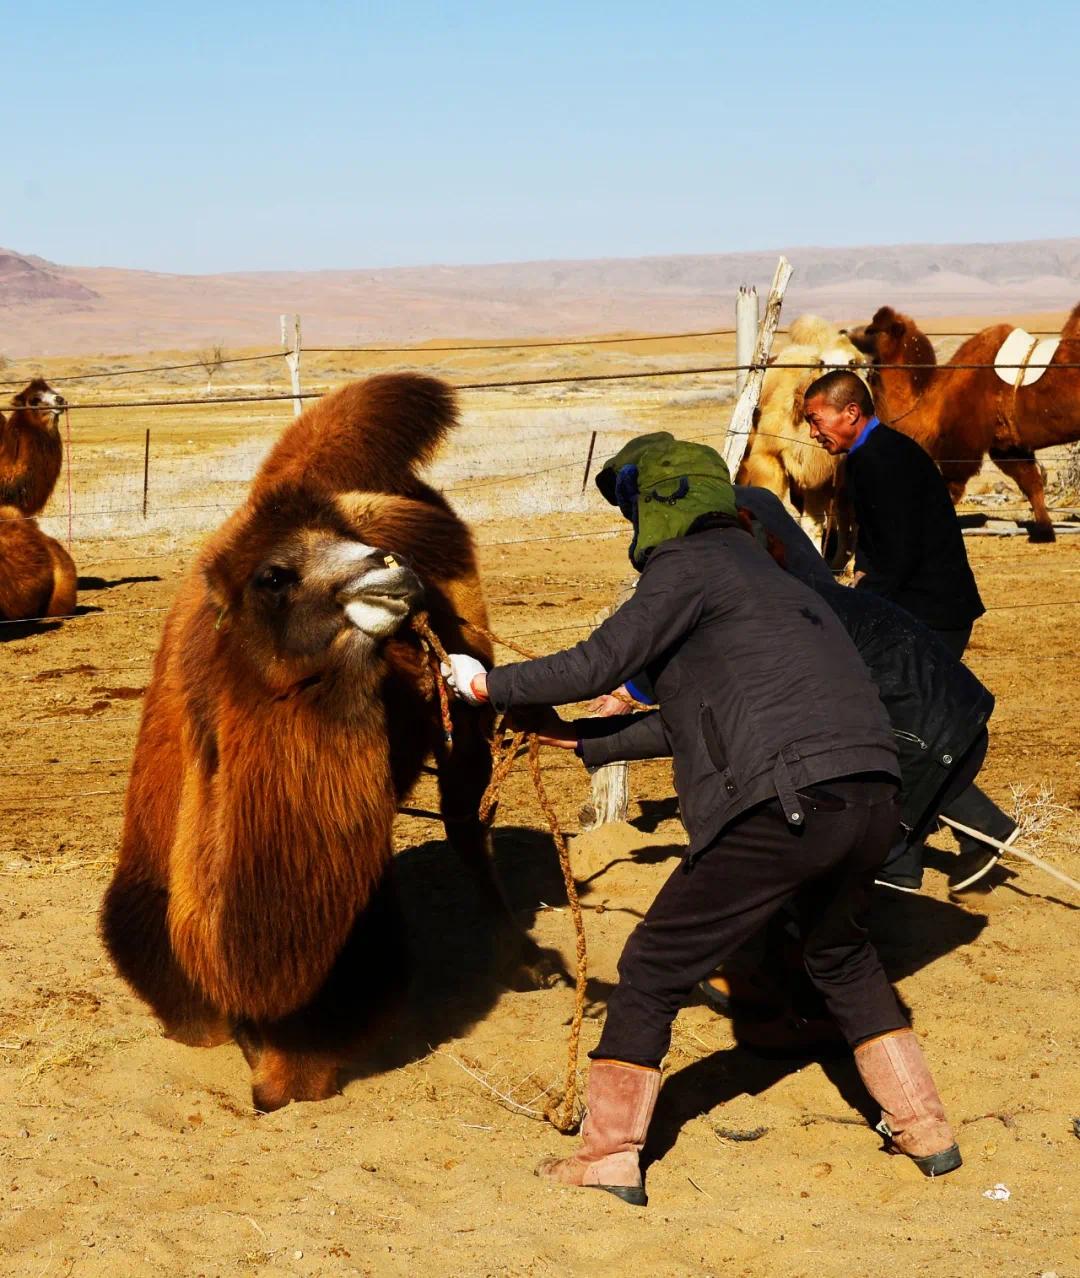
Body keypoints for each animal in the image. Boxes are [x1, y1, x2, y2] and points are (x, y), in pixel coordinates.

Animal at [97, 370, 547, 1109]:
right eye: (273, 576)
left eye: (350, 538)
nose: (394, 565)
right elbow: (200, 1022)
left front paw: (279, 1074)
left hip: (470, 718)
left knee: (467, 824)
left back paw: (526, 960)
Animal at [731, 311, 869, 562]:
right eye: (822, 363)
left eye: (853, 363)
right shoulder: (768, 458)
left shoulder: (820, 477)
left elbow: (814, 525)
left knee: (847, 519)